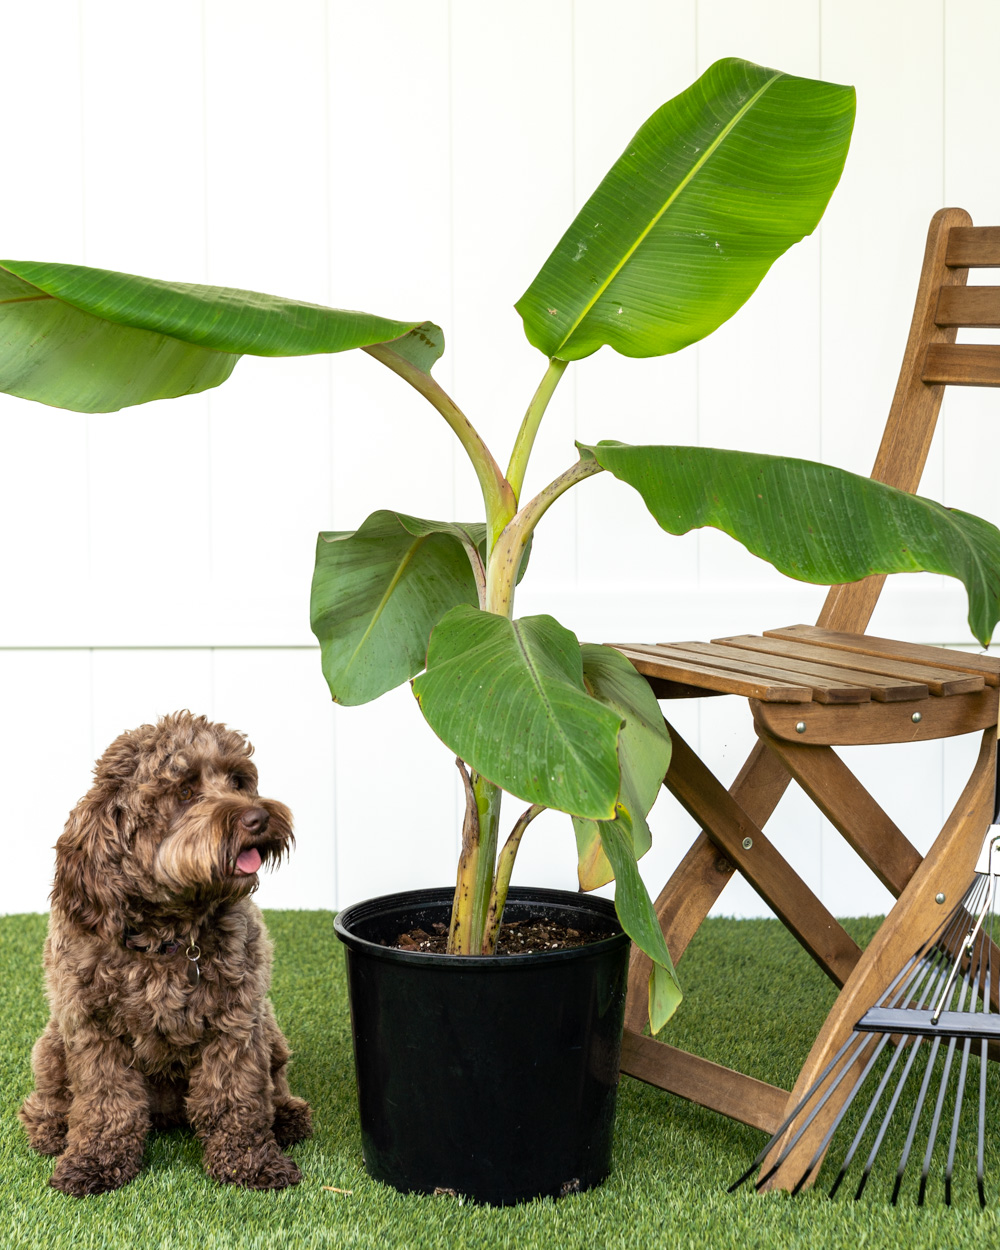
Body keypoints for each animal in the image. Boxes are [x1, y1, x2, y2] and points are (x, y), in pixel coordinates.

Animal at [22, 710, 312, 1195]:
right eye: (185, 792)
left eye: (239, 781)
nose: (258, 816)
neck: (169, 933)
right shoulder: (92, 1028)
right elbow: (107, 1104)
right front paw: (93, 1162)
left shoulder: (236, 1023)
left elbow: (237, 1098)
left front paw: (250, 1163)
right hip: (52, 1044)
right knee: (50, 1096)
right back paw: (51, 1128)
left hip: (269, 1030)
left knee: (275, 1080)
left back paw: (287, 1116)